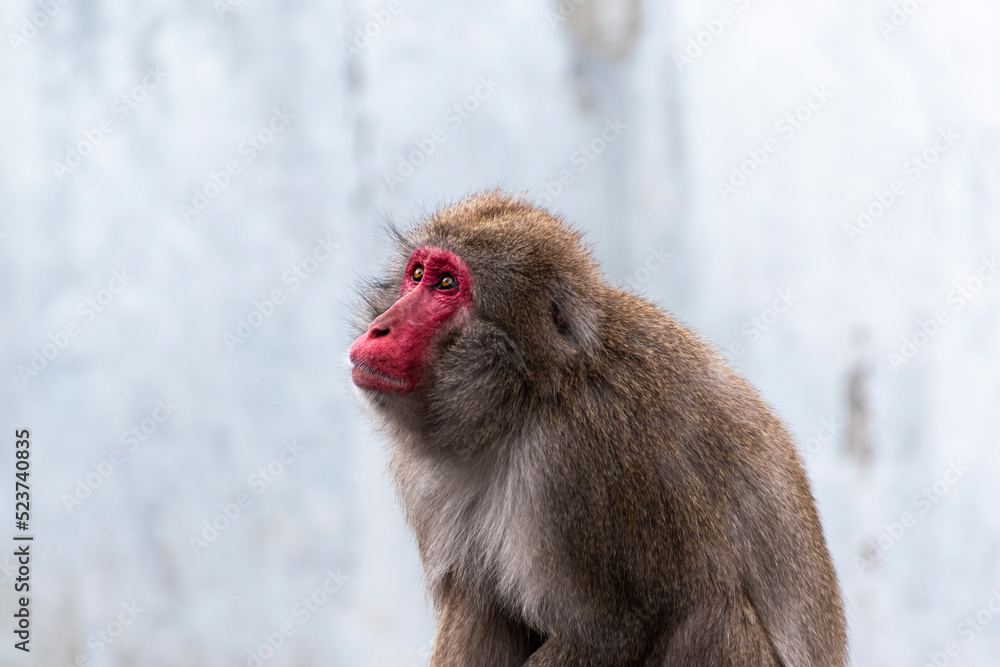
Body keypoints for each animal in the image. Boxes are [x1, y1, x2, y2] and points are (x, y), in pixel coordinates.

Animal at [349, 192, 847, 666]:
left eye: (447, 284)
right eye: (417, 274)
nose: (379, 329)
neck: (528, 397)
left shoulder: (579, 461)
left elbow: (610, 632)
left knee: (710, 611)